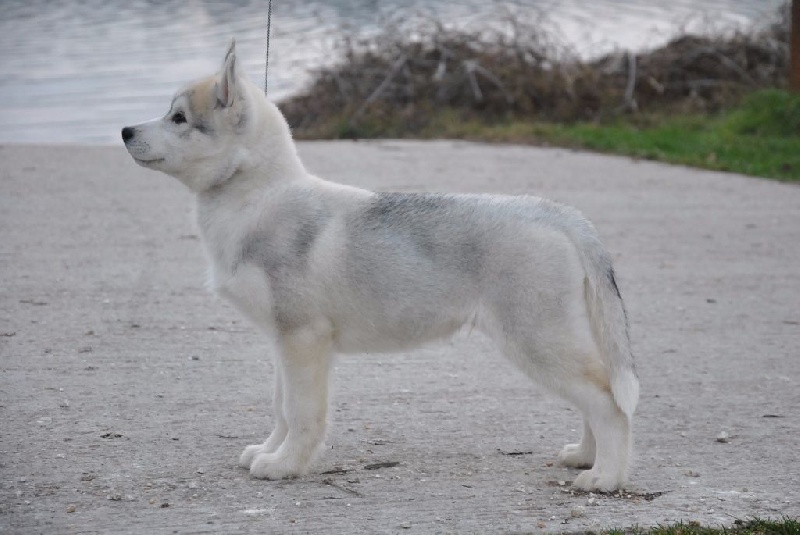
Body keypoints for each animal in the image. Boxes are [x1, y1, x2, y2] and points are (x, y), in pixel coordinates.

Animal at [122, 43, 640, 494]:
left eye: (178, 118)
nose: (125, 131)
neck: (259, 197)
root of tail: (554, 213)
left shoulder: (302, 339)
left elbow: (301, 413)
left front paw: (286, 465)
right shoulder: (282, 342)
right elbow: (281, 408)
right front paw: (268, 451)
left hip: (536, 340)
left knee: (609, 403)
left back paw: (606, 478)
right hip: (552, 341)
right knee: (594, 397)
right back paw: (585, 456)